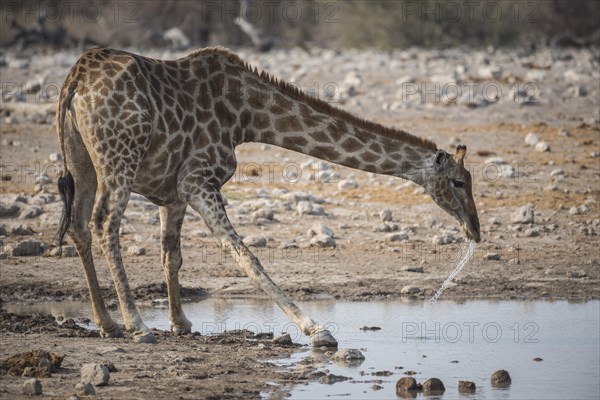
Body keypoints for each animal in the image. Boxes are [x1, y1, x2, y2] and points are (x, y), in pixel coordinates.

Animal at [54, 47, 480, 346]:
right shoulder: (199, 179)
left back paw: (107, 323)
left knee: (79, 225)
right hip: (119, 158)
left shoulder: (175, 191)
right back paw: (137, 325)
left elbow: (171, 255)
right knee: (104, 222)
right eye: (459, 182)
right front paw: (317, 330)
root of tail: (75, 81)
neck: (247, 116)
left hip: (83, 160)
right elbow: (246, 254)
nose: (475, 230)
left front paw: (181, 323)